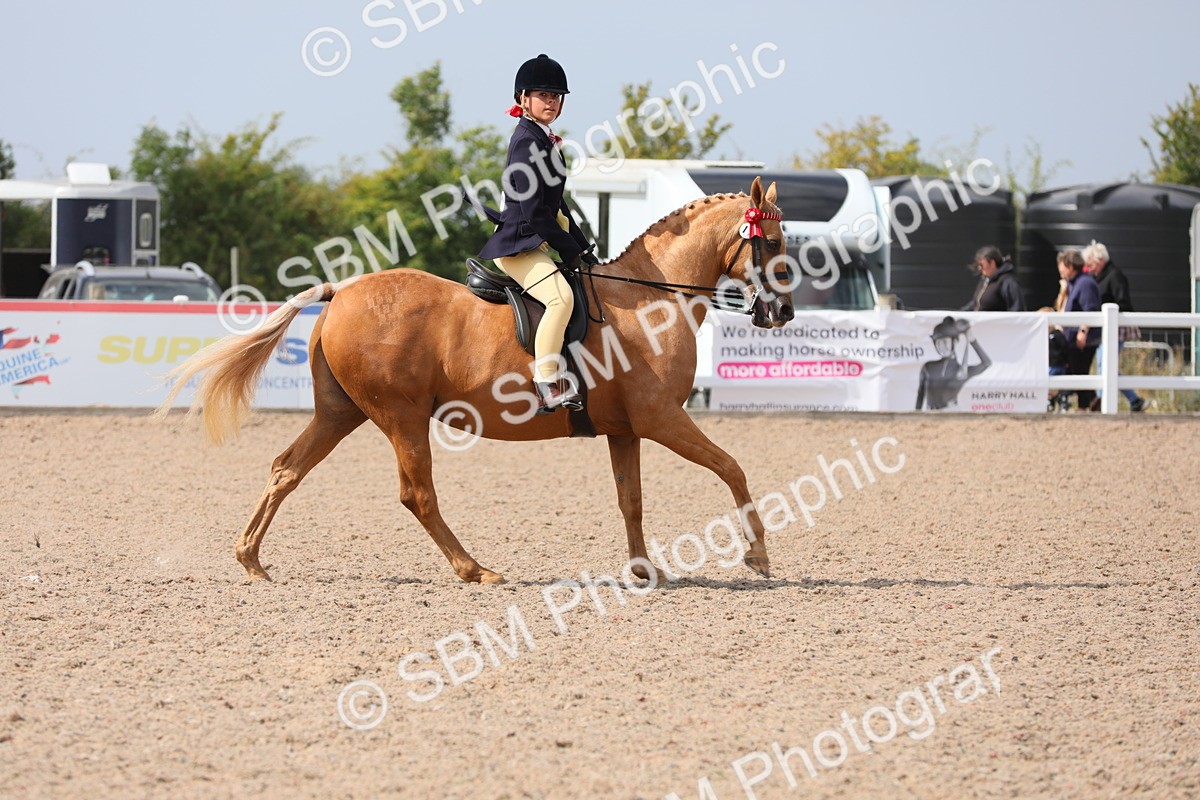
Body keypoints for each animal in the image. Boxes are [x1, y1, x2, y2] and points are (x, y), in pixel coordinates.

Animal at [158, 176, 795, 584]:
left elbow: (630, 499)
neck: (649, 300)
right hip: (401, 416)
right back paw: (475, 569)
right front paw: (759, 556)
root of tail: (343, 290)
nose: (782, 314)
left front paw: (643, 571)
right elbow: (732, 468)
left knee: (286, 468)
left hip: (341, 412)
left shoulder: (627, 428)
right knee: (417, 493)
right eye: (773, 243)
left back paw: (251, 559)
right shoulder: (663, 418)